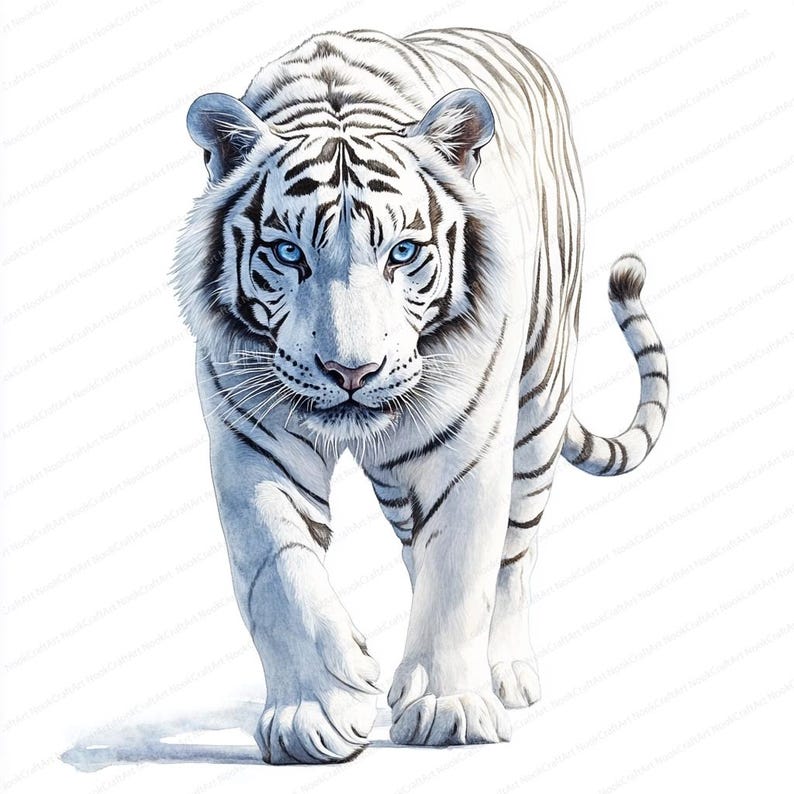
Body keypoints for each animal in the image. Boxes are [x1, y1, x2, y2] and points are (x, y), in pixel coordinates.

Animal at [173, 27, 669, 764]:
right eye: (289, 255)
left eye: (402, 254)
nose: (351, 371)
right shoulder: (250, 445)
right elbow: (278, 574)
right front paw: (313, 716)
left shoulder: (468, 442)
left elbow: (462, 568)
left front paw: (448, 710)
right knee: (414, 547)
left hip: (538, 408)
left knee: (514, 553)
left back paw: (503, 673)